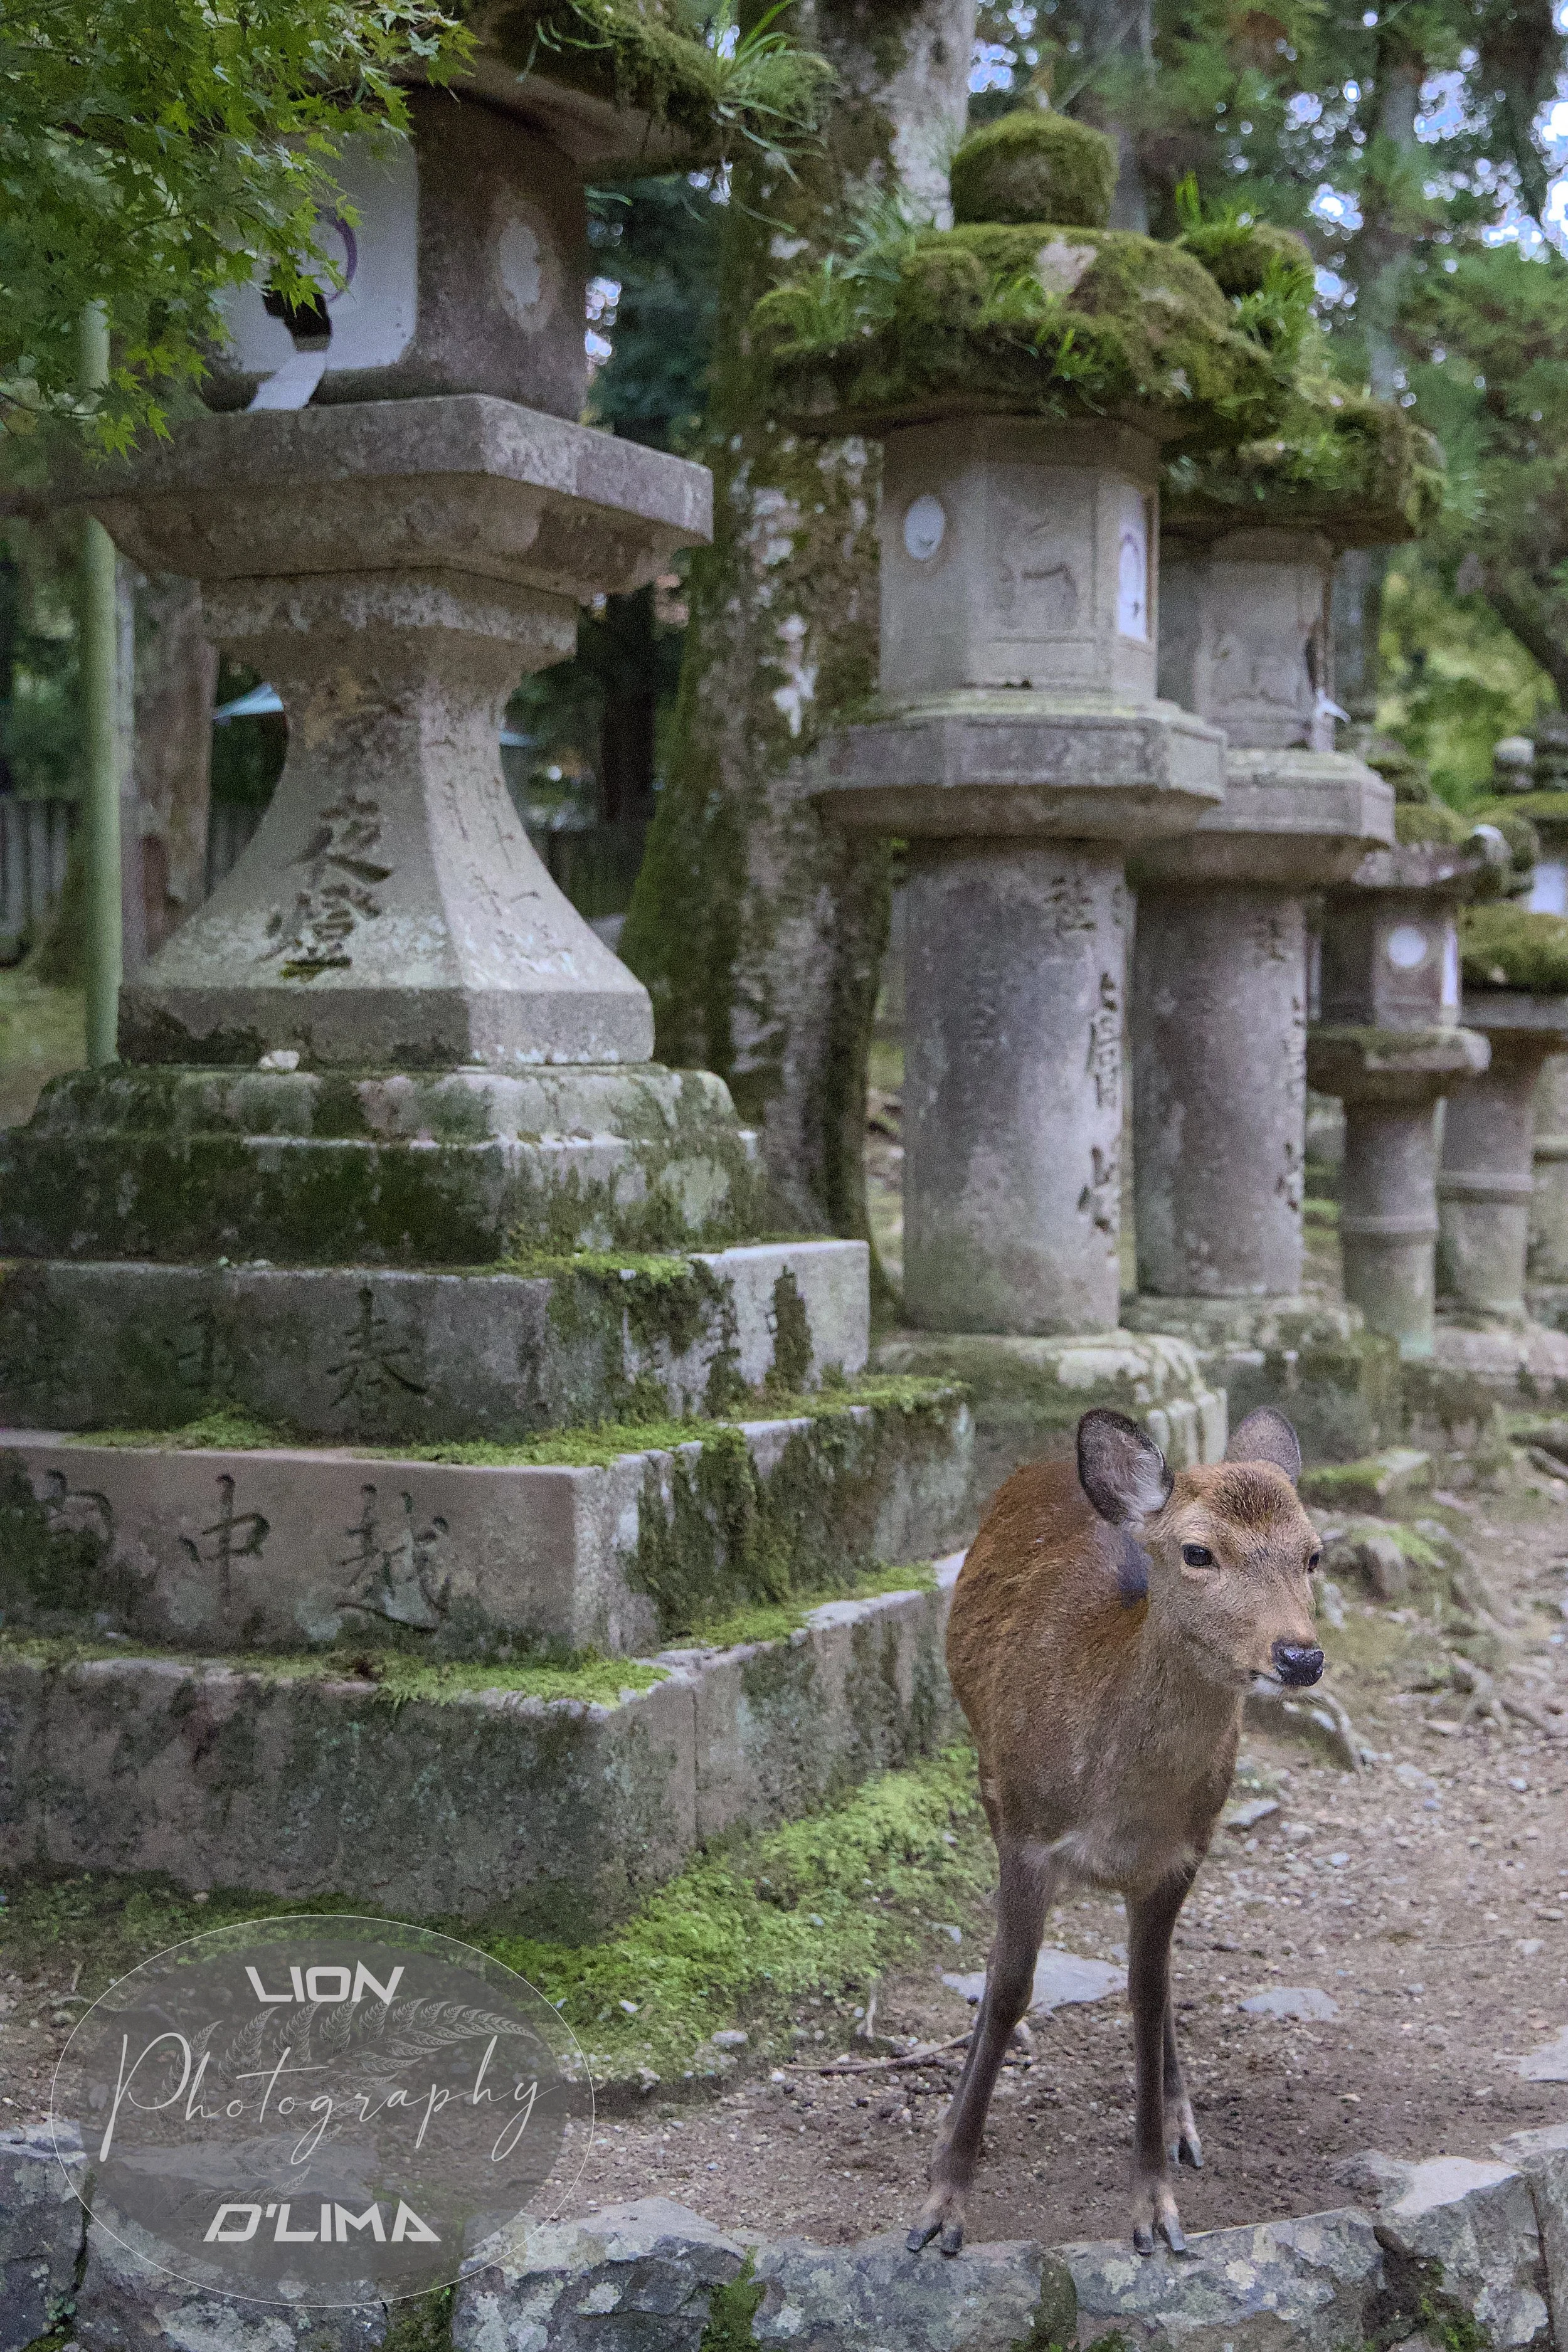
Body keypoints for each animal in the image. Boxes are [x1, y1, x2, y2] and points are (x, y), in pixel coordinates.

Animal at [908, 1404, 1324, 2261]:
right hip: (988, 1774)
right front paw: (941, 2207)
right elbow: (1009, 1988)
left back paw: (1182, 2122)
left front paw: (1156, 2208)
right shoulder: (1027, 1836)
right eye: (1198, 1553)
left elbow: (1148, 1996)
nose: (1299, 1655)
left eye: (1313, 1554)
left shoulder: (1179, 1859)